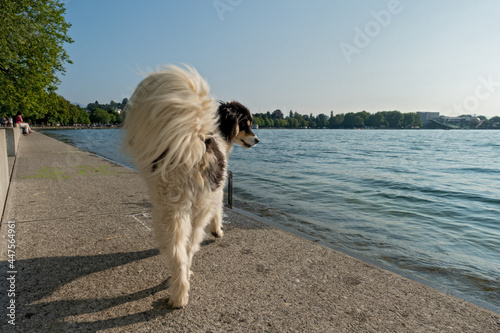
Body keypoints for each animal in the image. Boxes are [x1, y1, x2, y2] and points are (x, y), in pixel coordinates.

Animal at [123, 65, 260, 306]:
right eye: (246, 125)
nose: (257, 140)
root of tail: (193, 145)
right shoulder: (219, 191)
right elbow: (219, 212)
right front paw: (218, 231)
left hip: (169, 209)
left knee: (177, 251)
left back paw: (179, 292)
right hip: (197, 209)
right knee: (189, 246)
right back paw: (185, 282)